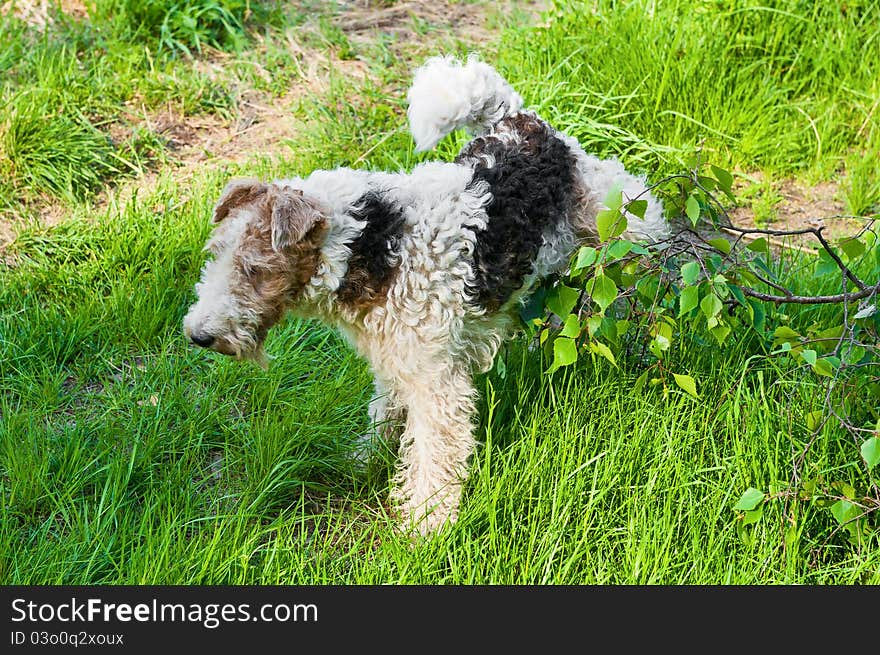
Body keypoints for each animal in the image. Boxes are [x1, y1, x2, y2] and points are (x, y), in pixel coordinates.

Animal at [184, 56, 668, 536]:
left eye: (254, 269)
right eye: (216, 253)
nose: (198, 335)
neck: (370, 243)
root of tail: (521, 122)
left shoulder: (437, 382)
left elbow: (434, 456)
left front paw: (426, 526)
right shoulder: (396, 355)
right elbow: (384, 413)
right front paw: (365, 459)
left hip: (627, 227)